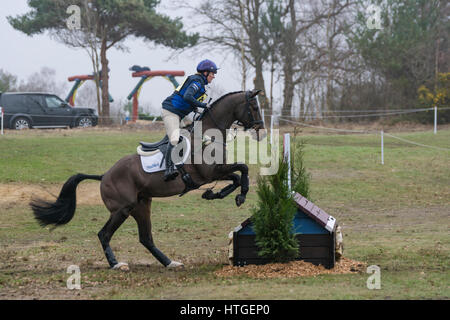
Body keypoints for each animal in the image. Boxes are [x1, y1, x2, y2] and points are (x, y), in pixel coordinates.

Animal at [29, 89, 266, 270]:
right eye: (254, 107)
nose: (262, 132)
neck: (208, 134)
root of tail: (104, 176)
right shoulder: (210, 173)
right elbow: (241, 170)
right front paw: (236, 196)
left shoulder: (214, 173)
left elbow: (237, 176)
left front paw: (219, 194)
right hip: (122, 209)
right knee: (104, 234)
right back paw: (116, 264)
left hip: (142, 206)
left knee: (146, 238)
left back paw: (169, 262)